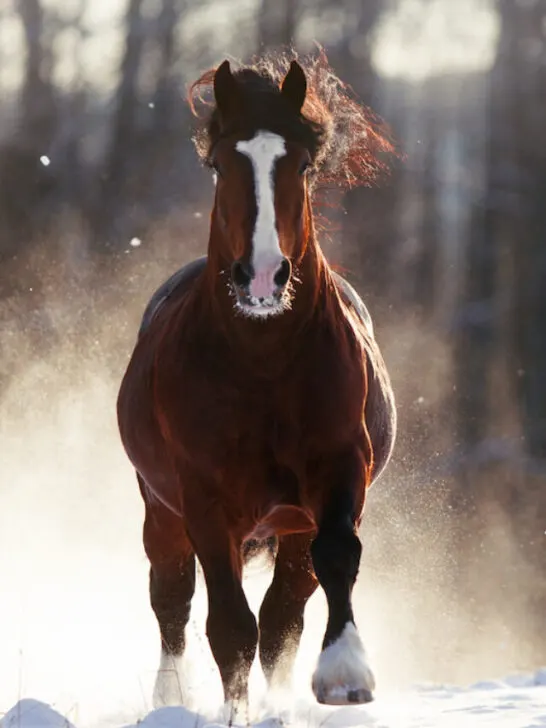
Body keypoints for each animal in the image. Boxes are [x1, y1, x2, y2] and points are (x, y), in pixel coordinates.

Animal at [117, 51, 397, 715]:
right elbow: (227, 627)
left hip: (289, 526)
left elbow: (333, 561)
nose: (264, 276)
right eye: (221, 163)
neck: (264, 365)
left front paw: (346, 677)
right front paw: (232, 716)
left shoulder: (339, 468)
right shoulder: (204, 499)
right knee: (172, 599)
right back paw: (170, 699)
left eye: (303, 163)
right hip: (160, 509)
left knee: (283, 615)